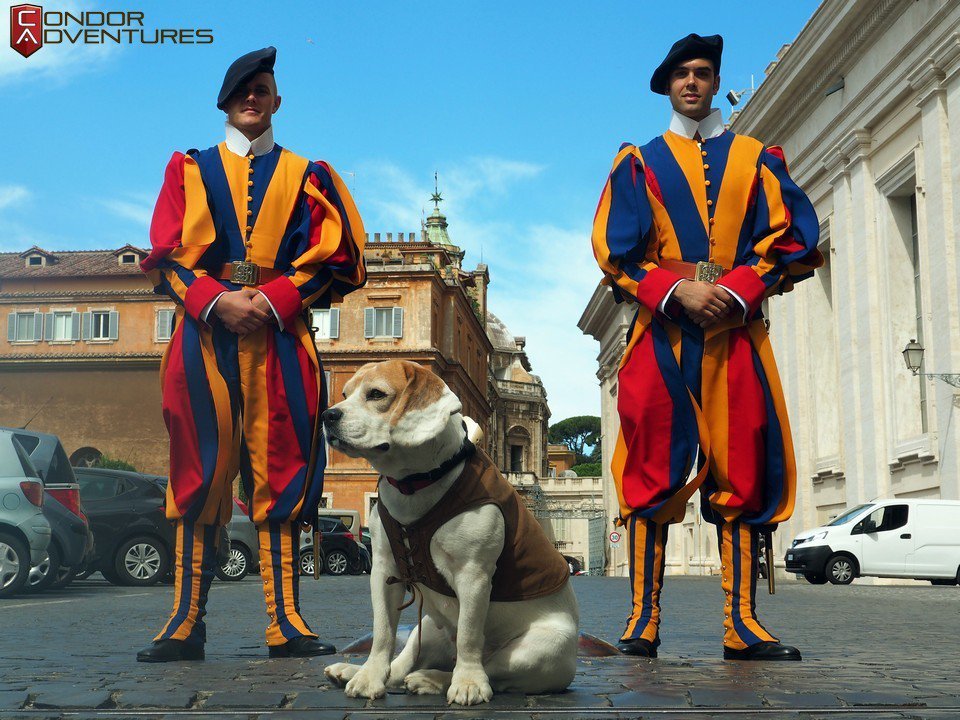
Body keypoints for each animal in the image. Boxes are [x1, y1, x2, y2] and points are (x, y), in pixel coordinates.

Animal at [322, 360, 576, 704]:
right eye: (345, 394)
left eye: (376, 394)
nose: (328, 415)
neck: (416, 483)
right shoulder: (385, 570)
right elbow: (383, 632)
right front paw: (369, 677)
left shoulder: (473, 575)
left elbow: (469, 635)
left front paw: (468, 683)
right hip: (429, 625)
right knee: (401, 666)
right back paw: (354, 671)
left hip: (541, 648)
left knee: (489, 667)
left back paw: (434, 679)